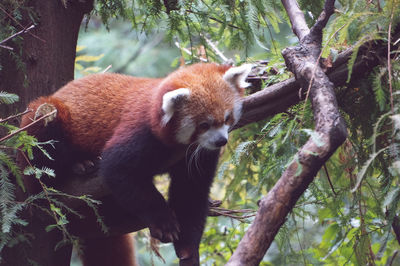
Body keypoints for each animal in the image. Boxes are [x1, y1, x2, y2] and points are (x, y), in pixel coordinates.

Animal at [20, 62, 252, 264]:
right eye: (204, 125)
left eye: (227, 118)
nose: (221, 141)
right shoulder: (139, 132)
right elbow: (118, 171)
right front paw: (163, 222)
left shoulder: (197, 155)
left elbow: (190, 193)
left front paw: (188, 248)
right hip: (39, 129)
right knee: (46, 122)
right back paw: (76, 166)